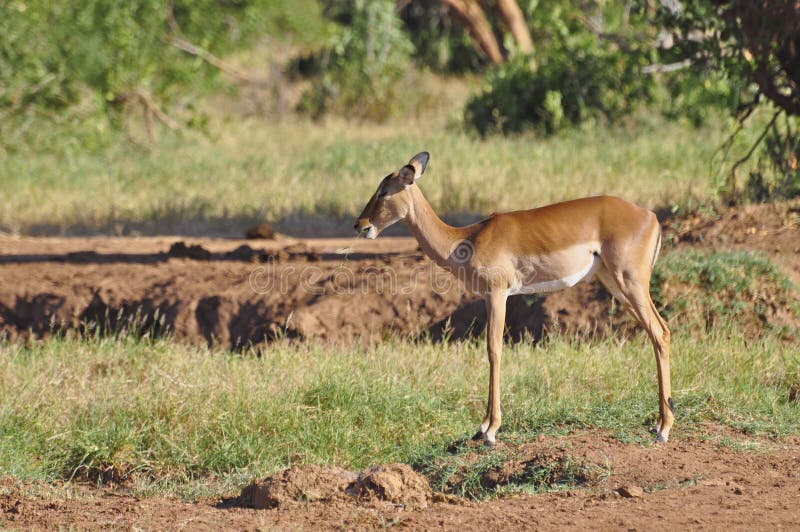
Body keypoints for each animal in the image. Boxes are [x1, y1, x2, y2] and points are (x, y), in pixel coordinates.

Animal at [355, 152, 674, 446]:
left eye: (384, 190)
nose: (360, 225)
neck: (465, 240)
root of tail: (650, 216)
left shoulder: (498, 294)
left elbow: (493, 350)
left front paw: (490, 430)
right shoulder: (488, 297)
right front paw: (482, 426)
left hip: (630, 282)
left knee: (660, 331)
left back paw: (663, 429)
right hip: (616, 284)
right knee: (659, 332)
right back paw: (659, 423)